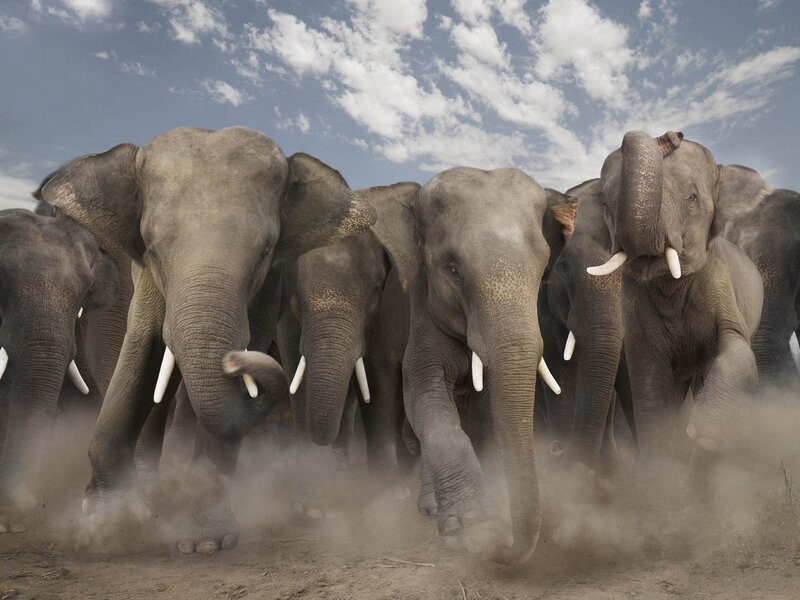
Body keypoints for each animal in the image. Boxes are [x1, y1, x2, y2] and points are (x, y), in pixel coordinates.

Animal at [35, 126, 376, 555]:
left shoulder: (271, 286)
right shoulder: (144, 276)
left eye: (265, 252)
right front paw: (104, 519)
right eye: (152, 247)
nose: (233, 361)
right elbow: (141, 346)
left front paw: (205, 543)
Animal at [364, 166, 563, 565]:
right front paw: (472, 522)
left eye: (541, 267)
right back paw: (428, 506)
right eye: (453, 269)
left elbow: (485, 408)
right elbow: (423, 392)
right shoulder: (420, 308)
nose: (501, 551)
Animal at [587, 131, 763, 459]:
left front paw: (703, 436)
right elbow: (648, 381)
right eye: (606, 204)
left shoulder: (720, 280)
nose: (671, 136)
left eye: (692, 198)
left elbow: (738, 348)